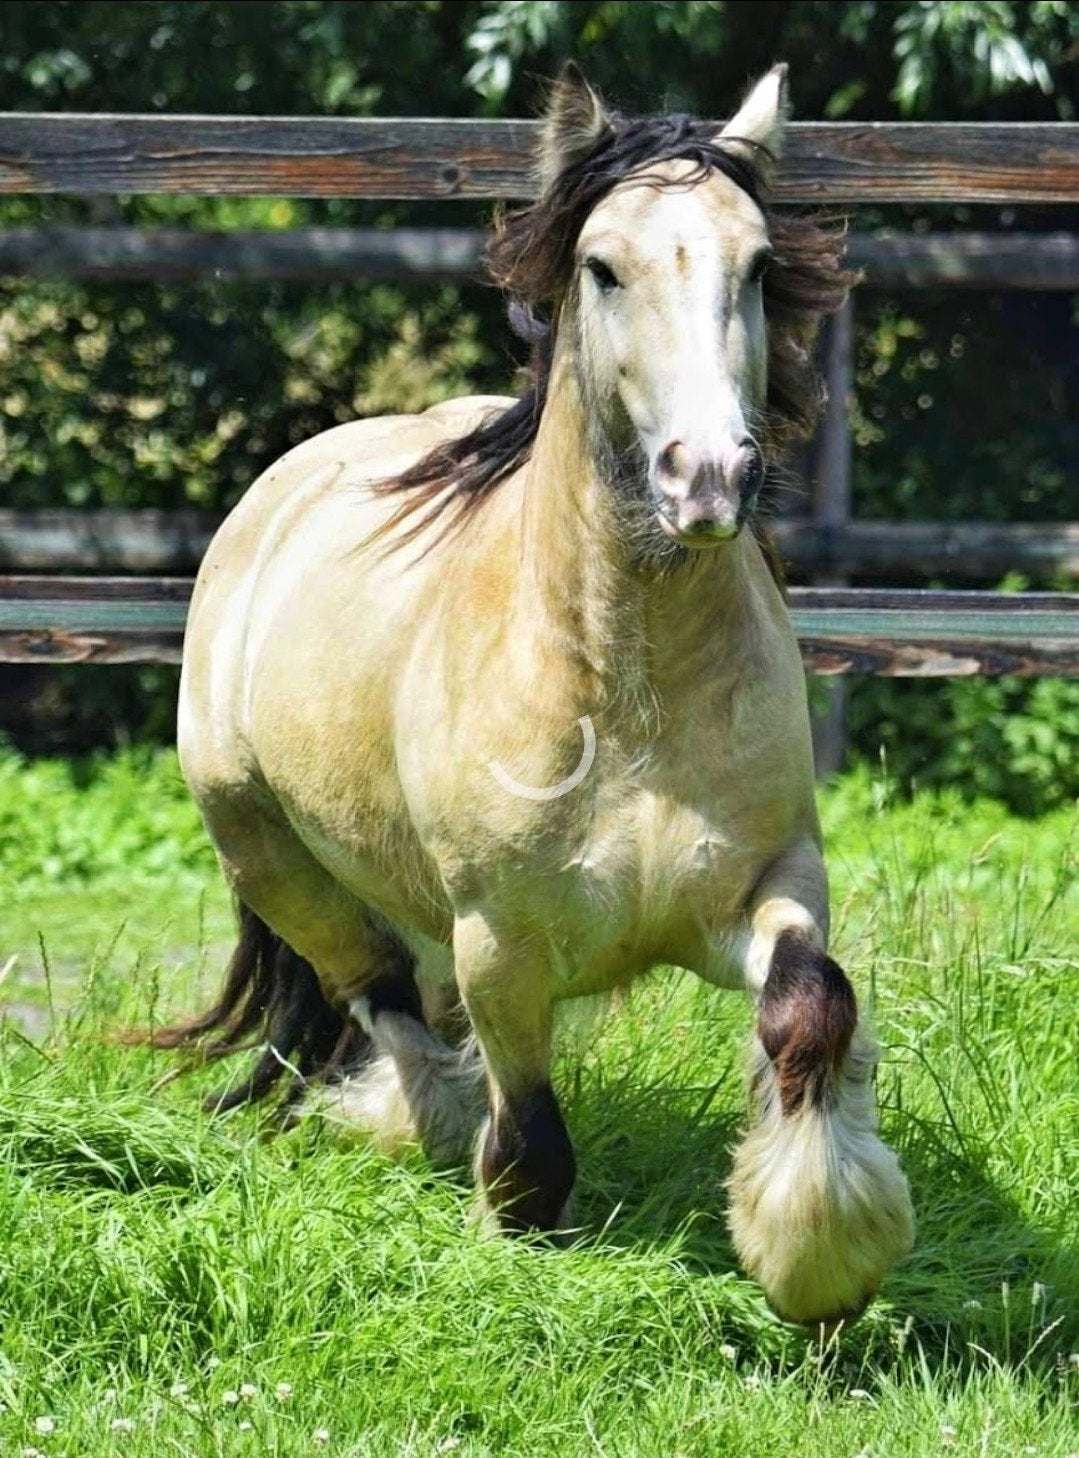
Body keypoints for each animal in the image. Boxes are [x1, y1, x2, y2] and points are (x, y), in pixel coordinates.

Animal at [162, 64, 914, 1327]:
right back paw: (407, 1119)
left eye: (758, 264)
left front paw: (817, 1259)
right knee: (380, 1002)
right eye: (601, 266)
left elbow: (808, 1008)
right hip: (272, 858)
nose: (707, 479)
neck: (627, 700)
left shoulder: (766, 882)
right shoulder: (500, 945)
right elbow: (528, 1146)